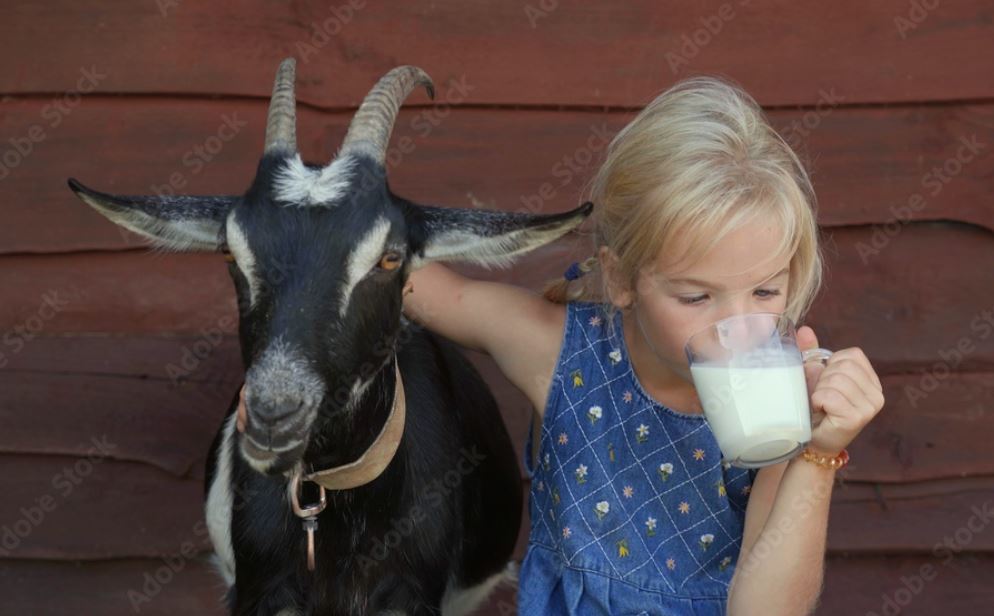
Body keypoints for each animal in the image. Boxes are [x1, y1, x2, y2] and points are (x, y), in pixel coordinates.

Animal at [68, 59, 588, 616]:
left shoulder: (412, 593)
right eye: (230, 252)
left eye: (390, 258)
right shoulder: (257, 590)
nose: (274, 415)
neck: (331, 498)